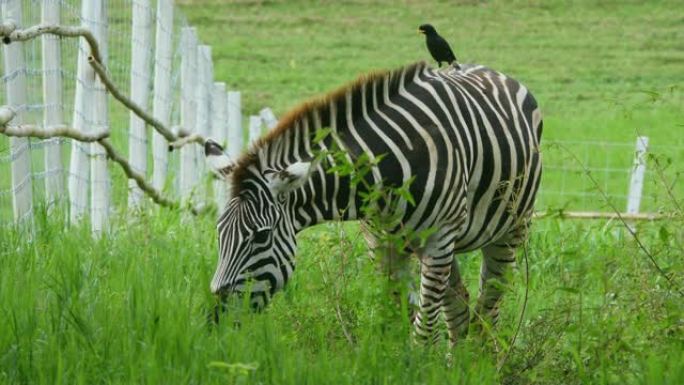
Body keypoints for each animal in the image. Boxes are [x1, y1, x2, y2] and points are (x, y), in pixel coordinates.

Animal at [206, 61, 544, 344]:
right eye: (219, 232)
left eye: (261, 237)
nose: (217, 321)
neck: (385, 172)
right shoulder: (382, 243)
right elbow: (402, 315)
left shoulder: (439, 238)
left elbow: (423, 329)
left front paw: (420, 368)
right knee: (458, 301)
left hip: (511, 227)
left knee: (491, 301)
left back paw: (482, 357)